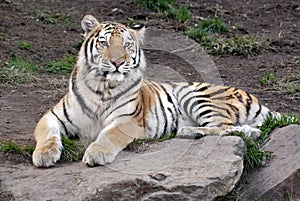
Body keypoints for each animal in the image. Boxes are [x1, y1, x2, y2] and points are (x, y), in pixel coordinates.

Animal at [31, 14, 280, 167]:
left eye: (127, 45)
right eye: (104, 43)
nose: (118, 62)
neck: (102, 86)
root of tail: (251, 95)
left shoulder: (127, 120)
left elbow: (109, 135)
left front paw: (96, 153)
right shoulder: (52, 116)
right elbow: (47, 135)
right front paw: (44, 155)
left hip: (194, 95)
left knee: (225, 127)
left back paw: (189, 131)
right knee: (242, 129)